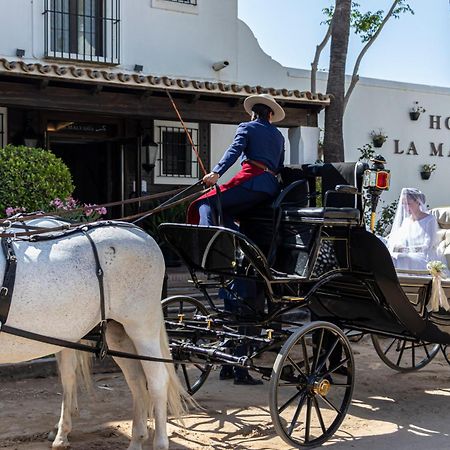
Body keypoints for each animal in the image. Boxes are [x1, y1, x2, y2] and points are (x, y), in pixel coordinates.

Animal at [0, 219, 186, 450]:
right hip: (117, 333)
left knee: (157, 381)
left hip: (142, 329)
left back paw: (159, 442)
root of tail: (142, 234)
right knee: (136, 381)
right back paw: (136, 439)